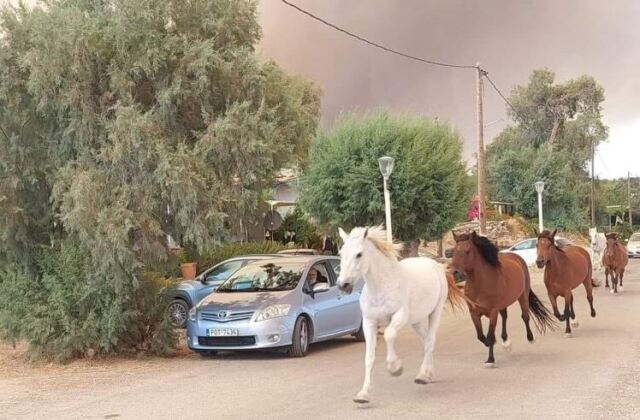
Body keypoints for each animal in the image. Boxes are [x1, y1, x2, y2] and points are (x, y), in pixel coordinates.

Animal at [450, 231, 556, 366]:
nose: (454, 271)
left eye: (467, 251)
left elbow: (490, 335)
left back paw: (530, 338)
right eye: (454, 251)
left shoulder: (493, 312)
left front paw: (490, 360)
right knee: (505, 317)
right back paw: (506, 342)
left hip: (522, 296)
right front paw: (490, 345)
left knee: (525, 316)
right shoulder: (473, 312)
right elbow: (481, 336)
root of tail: (516, 257)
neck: (480, 285)